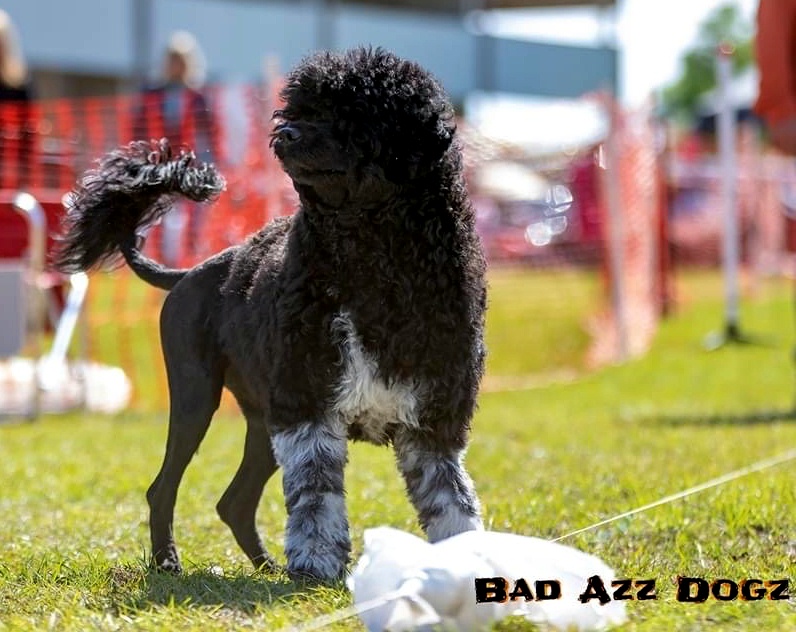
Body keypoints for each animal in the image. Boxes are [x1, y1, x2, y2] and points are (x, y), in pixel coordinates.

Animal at [54, 48, 486, 584]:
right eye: (299, 108)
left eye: (355, 115)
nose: (287, 134)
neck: (374, 259)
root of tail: (189, 273)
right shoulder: (307, 405)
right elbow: (316, 498)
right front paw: (318, 565)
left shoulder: (433, 416)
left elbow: (450, 499)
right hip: (197, 397)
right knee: (165, 488)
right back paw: (169, 562)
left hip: (261, 422)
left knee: (233, 502)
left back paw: (265, 566)